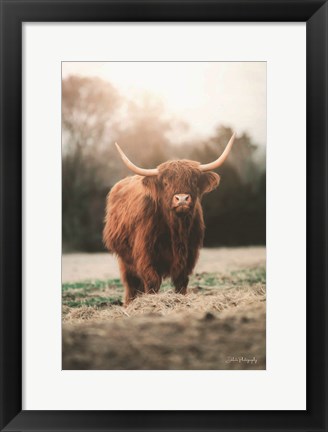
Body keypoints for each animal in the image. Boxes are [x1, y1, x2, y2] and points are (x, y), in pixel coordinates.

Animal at [104, 133, 234, 306]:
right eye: (165, 183)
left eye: (193, 181)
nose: (182, 199)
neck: (177, 229)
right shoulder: (145, 255)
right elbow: (152, 281)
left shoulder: (189, 254)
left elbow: (181, 281)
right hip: (124, 258)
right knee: (131, 283)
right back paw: (129, 304)